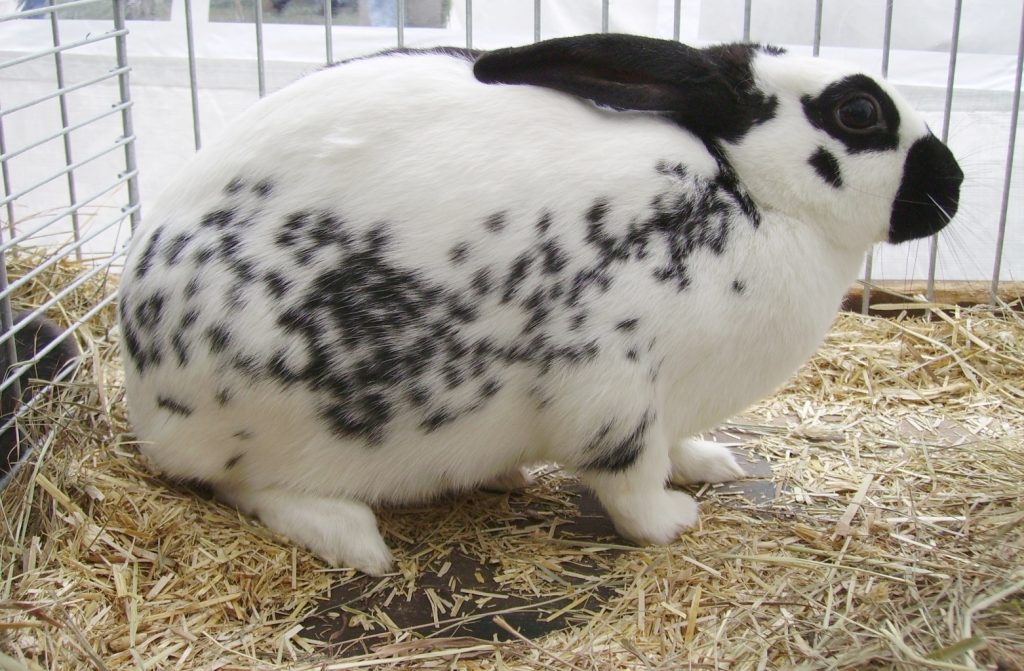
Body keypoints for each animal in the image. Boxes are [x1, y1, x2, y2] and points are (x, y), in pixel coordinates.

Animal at [118, 34, 962, 575]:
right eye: (859, 113)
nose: (952, 187)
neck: (750, 192)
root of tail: (143, 399)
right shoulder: (614, 389)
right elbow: (630, 482)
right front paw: (673, 520)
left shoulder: (669, 403)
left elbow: (677, 446)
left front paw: (711, 464)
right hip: (274, 412)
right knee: (249, 483)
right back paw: (353, 535)